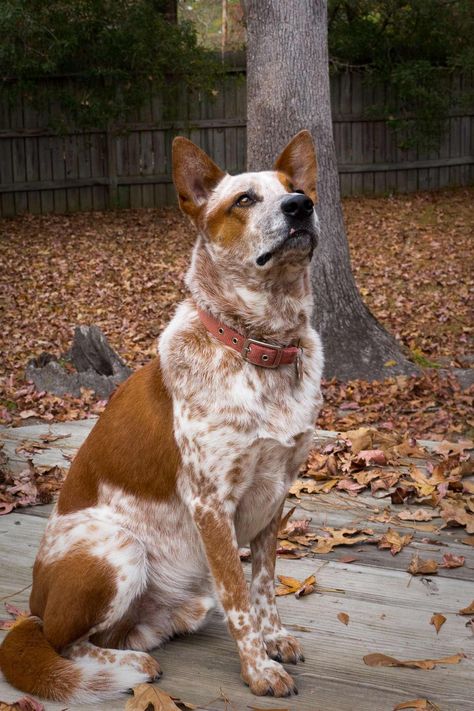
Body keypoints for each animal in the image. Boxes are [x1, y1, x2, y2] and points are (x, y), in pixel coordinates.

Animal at [0, 128, 324, 700]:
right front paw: (258, 669)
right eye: (244, 199)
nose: (300, 207)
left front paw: (274, 640)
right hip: (117, 548)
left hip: (174, 595)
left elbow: (263, 586)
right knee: (63, 642)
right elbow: (240, 598)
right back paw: (126, 667)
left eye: (296, 188)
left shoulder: (276, 495)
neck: (260, 347)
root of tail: (34, 606)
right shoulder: (211, 504)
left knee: (122, 632)